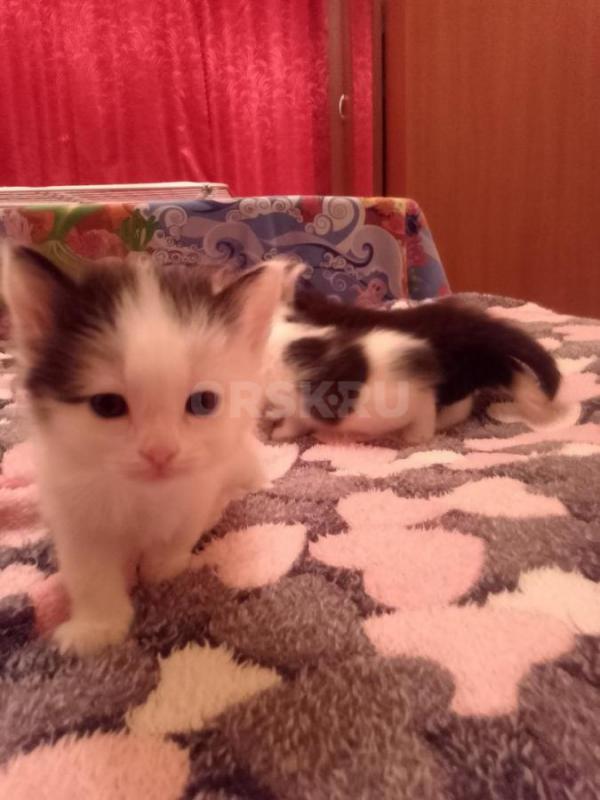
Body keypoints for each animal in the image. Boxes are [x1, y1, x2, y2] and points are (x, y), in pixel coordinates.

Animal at [3, 245, 287, 655]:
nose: (160, 452)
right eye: (107, 405)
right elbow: (90, 572)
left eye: (203, 402)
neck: (142, 495)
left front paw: (160, 572)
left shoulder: (198, 489)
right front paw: (98, 627)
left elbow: (175, 537)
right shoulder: (73, 511)